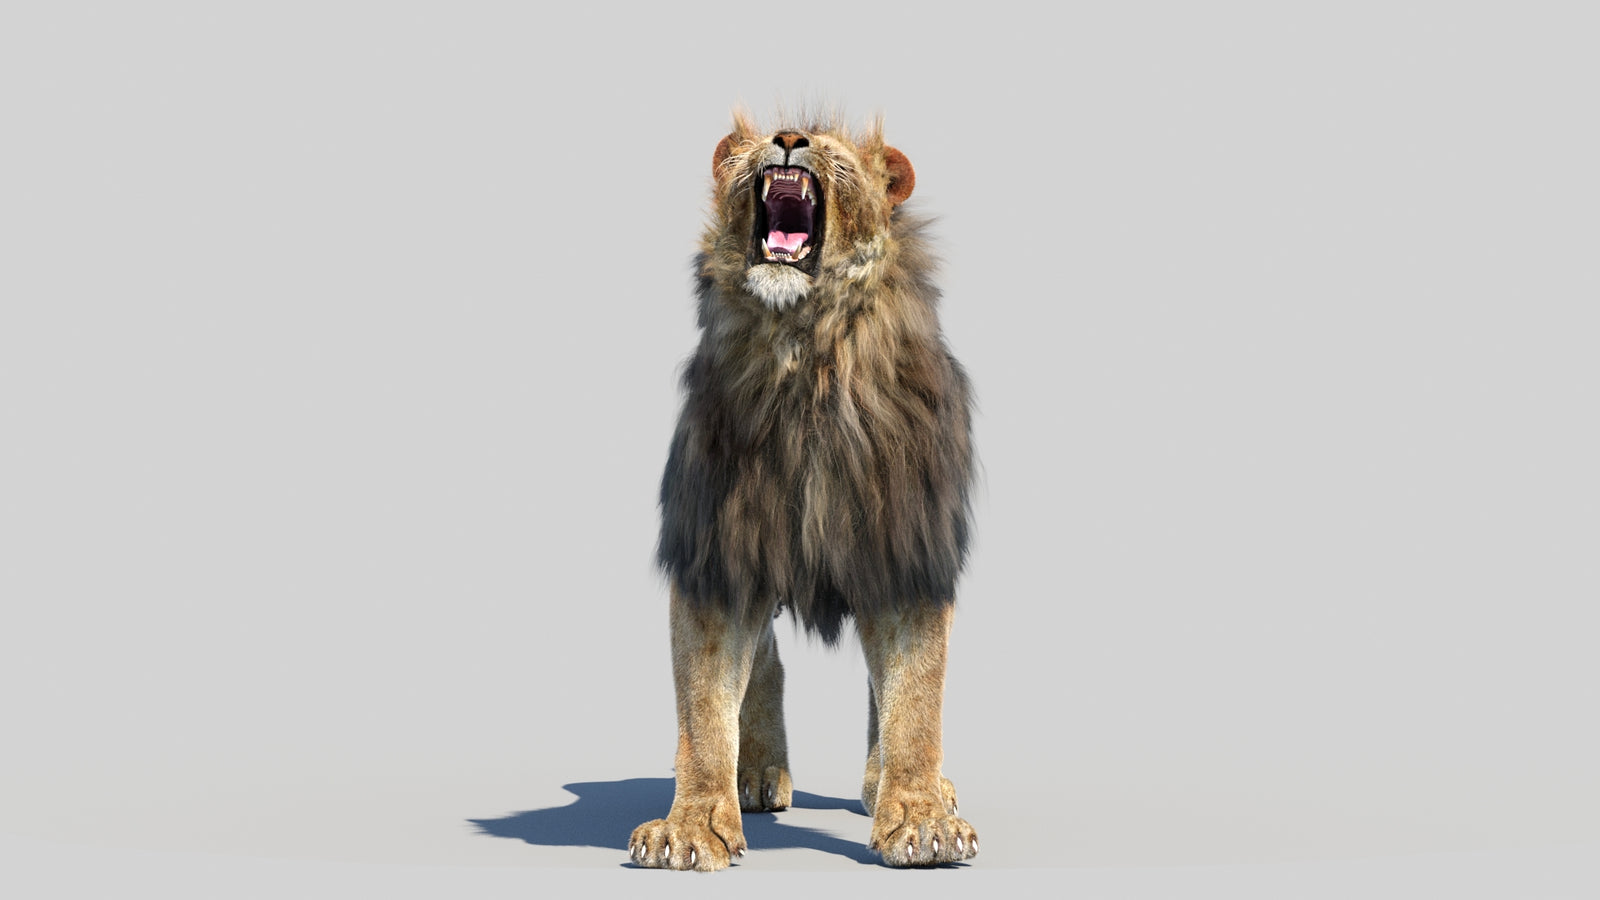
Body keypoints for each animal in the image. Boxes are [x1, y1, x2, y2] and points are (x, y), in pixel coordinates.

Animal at [628, 112, 977, 870]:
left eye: (831, 143)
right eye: (772, 132)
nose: (789, 137)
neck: (804, 350)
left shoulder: (905, 548)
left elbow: (914, 695)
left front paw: (921, 819)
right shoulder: (718, 549)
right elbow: (704, 703)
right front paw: (690, 826)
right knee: (763, 664)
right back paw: (755, 773)